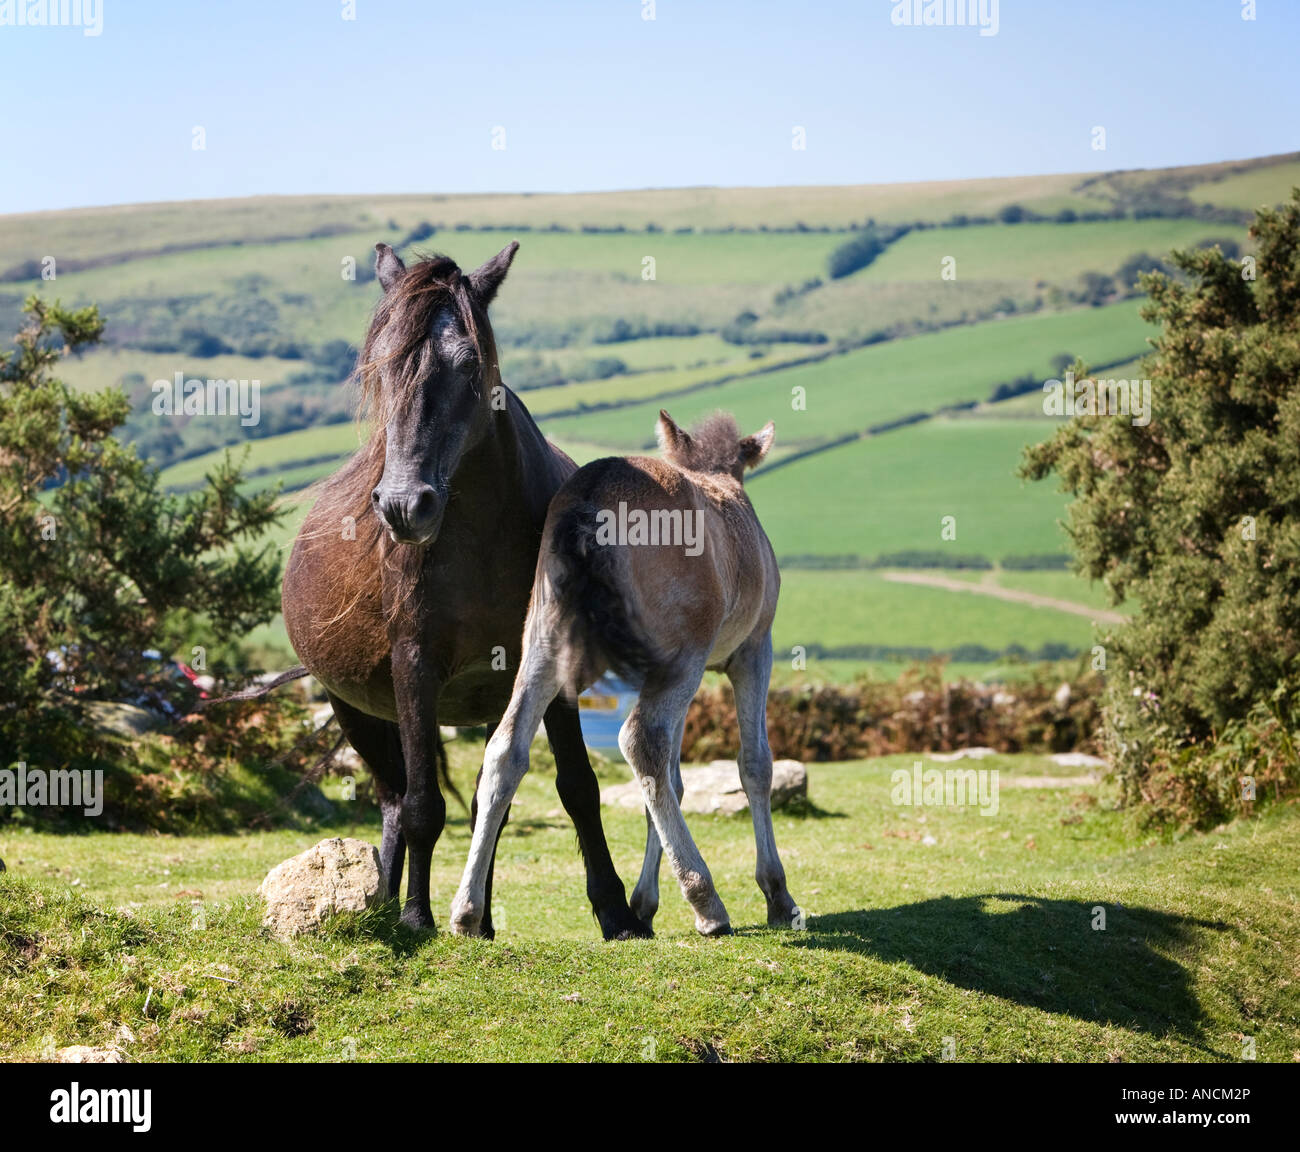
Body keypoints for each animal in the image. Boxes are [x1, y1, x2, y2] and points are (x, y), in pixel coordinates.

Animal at [281, 241, 647, 939]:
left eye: (470, 365)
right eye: (379, 367)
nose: (404, 506)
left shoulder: (547, 666)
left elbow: (574, 788)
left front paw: (616, 912)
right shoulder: (413, 667)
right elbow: (424, 806)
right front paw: (415, 917)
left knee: (480, 800)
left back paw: (470, 917)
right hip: (357, 709)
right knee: (396, 800)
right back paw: (388, 903)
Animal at [450, 409, 801, 938]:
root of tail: (589, 501)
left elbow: (674, 781)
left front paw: (644, 903)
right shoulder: (754, 649)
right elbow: (755, 763)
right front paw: (777, 895)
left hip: (545, 642)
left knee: (506, 749)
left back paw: (468, 911)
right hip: (683, 656)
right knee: (642, 740)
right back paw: (707, 902)